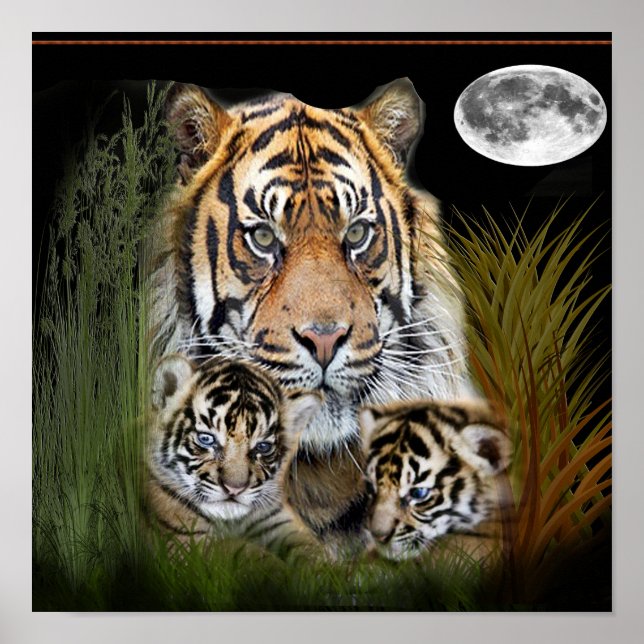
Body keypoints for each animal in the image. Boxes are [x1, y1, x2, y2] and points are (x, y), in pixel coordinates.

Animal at [145, 353, 322, 551]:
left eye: (263, 447)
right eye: (206, 439)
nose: (234, 489)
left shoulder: (278, 517)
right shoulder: (185, 540)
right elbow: (244, 551)